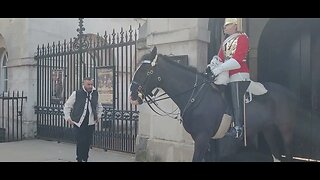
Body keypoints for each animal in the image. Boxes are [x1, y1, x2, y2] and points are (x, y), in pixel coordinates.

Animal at [129, 46, 298, 162]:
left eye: (146, 71)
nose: (132, 96)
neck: (195, 95)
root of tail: (288, 92)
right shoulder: (204, 139)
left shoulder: (202, 138)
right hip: (268, 129)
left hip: (286, 130)